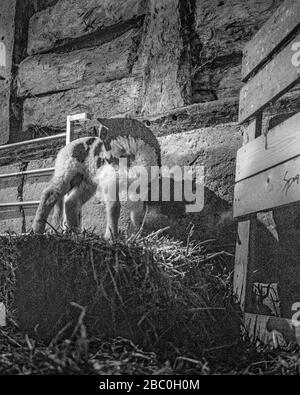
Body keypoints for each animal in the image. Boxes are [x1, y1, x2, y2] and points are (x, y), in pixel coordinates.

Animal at [31, 117, 161, 240]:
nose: (104, 162)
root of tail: (65, 148)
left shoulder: (138, 190)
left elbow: (136, 212)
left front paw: (135, 235)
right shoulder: (109, 183)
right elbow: (114, 208)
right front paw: (111, 237)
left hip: (87, 182)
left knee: (71, 202)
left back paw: (75, 233)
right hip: (66, 172)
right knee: (49, 194)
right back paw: (37, 230)